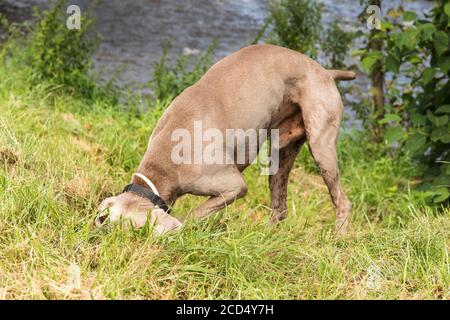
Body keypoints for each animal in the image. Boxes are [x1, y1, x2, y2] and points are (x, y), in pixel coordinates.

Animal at [95, 43, 356, 235]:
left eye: (135, 231)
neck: (164, 165)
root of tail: (326, 72)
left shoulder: (233, 186)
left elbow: (193, 214)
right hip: (281, 154)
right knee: (279, 207)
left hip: (321, 146)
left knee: (342, 201)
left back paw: (338, 239)